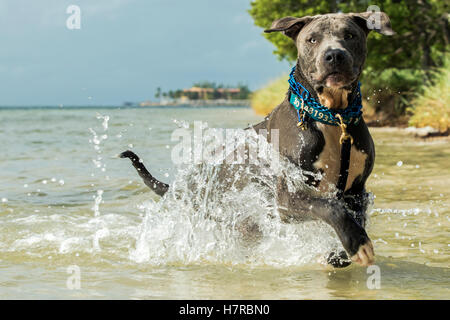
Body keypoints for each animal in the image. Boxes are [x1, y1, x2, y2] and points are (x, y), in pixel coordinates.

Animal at [121, 11, 396, 268]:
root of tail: (187, 183)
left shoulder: (356, 192)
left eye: (349, 35)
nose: (334, 55)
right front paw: (357, 244)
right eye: (312, 39)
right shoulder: (287, 199)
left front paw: (341, 252)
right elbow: (331, 207)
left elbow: (354, 216)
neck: (332, 117)